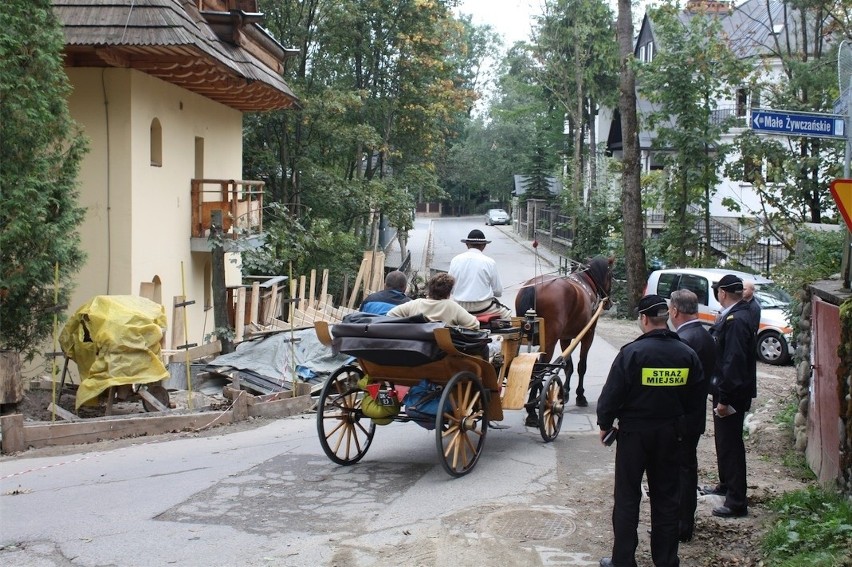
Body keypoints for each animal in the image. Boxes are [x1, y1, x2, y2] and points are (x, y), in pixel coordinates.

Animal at [512, 256, 612, 408]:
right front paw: (580, 396)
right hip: (549, 341)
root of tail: (533, 287)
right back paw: (534, 404)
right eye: (611, 275)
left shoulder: (565, 338)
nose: (609, 303)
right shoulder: (588, 334)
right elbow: (581, 365)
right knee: (540, 368)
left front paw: (564, 392)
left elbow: (568, 365)